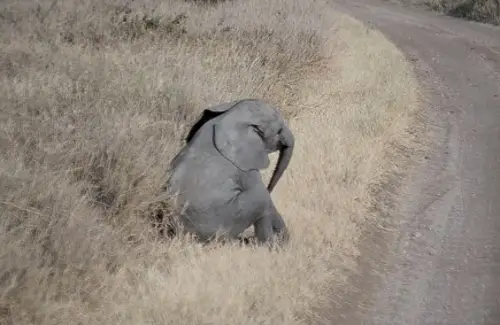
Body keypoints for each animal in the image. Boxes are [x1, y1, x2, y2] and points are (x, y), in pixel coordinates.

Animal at [166, 97, 294, 244]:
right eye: (279, 131)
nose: (270, 187)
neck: (229, 116)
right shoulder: (243, 165)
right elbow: (262, 194)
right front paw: (283, 243)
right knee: (262, 197)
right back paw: (268, 245)